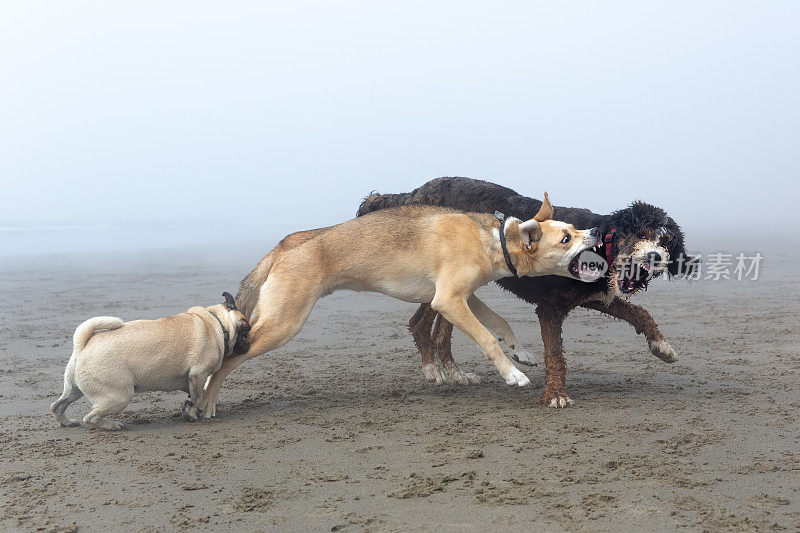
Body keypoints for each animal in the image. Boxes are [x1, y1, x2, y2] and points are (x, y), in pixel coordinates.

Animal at [50, 290, 250, 428]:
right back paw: (112, 425)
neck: (217, 323)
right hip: (119, 396)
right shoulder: (198, 375)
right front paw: (193, 414)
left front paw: (187, 410)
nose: (248, 342)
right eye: (246, 329)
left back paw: (67, 422)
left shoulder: (190, 380)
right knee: (90, 418)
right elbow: (197, 397)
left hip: (74, 389)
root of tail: (82, 346)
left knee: (57, 406)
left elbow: (192, 396)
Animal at [198, 191, 600, 416]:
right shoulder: (448, 301)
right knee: (229, 358)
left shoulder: (464, 297)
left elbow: (501, 322)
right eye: (566, 238)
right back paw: (206, 402)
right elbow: (486, 338)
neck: (494, 238)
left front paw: (521, 352)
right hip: (283, 324)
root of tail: (283, 246)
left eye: (573, 228)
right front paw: (512, 373)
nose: (595, 231)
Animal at [356, 177, 692, 406]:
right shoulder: (550, 307)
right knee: (419, 324)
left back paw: (454, 373)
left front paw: (661, 346)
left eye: (668, 241)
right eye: (641, 232)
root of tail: (411, 192)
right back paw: (433, 370)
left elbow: (640, 313)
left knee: (437, 332)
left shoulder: (594, 297)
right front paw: (555, 394)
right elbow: (554, 353)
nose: (655, 257)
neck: (601, 246)